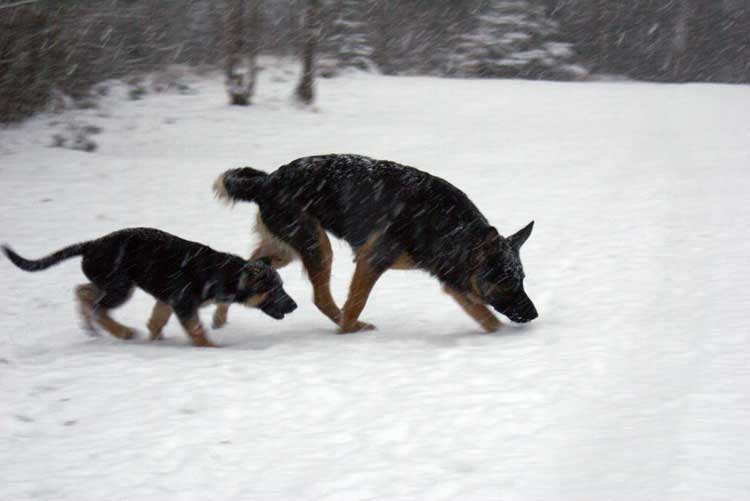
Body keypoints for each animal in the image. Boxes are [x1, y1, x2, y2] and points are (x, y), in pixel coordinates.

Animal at [2, 229, 296, 346]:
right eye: (274, 289)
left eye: (282, 286)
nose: (294, 305)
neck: (226, 274)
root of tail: (91, 244)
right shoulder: (183, 304)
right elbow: (197, 331)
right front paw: (212, 348)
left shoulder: (166, 301)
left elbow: (156, 322)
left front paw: (156, 342)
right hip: (120, 286)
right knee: (97, 307)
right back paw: (121, 332)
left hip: (112, 283)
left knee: (82, 291)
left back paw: (92, 329)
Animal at [214, 152, 536, 332]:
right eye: (508, 282)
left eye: (522, 280)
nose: (534, 313)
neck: (448, 226)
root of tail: (266, 181)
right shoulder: (370, 261)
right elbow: (355, 304)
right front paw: (346, 333)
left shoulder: (452, 280)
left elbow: (486, 317)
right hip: (318, 246)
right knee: (322, 299)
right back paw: (353, 326)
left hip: (287, 250)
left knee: (250, 264)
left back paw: (219, 315)